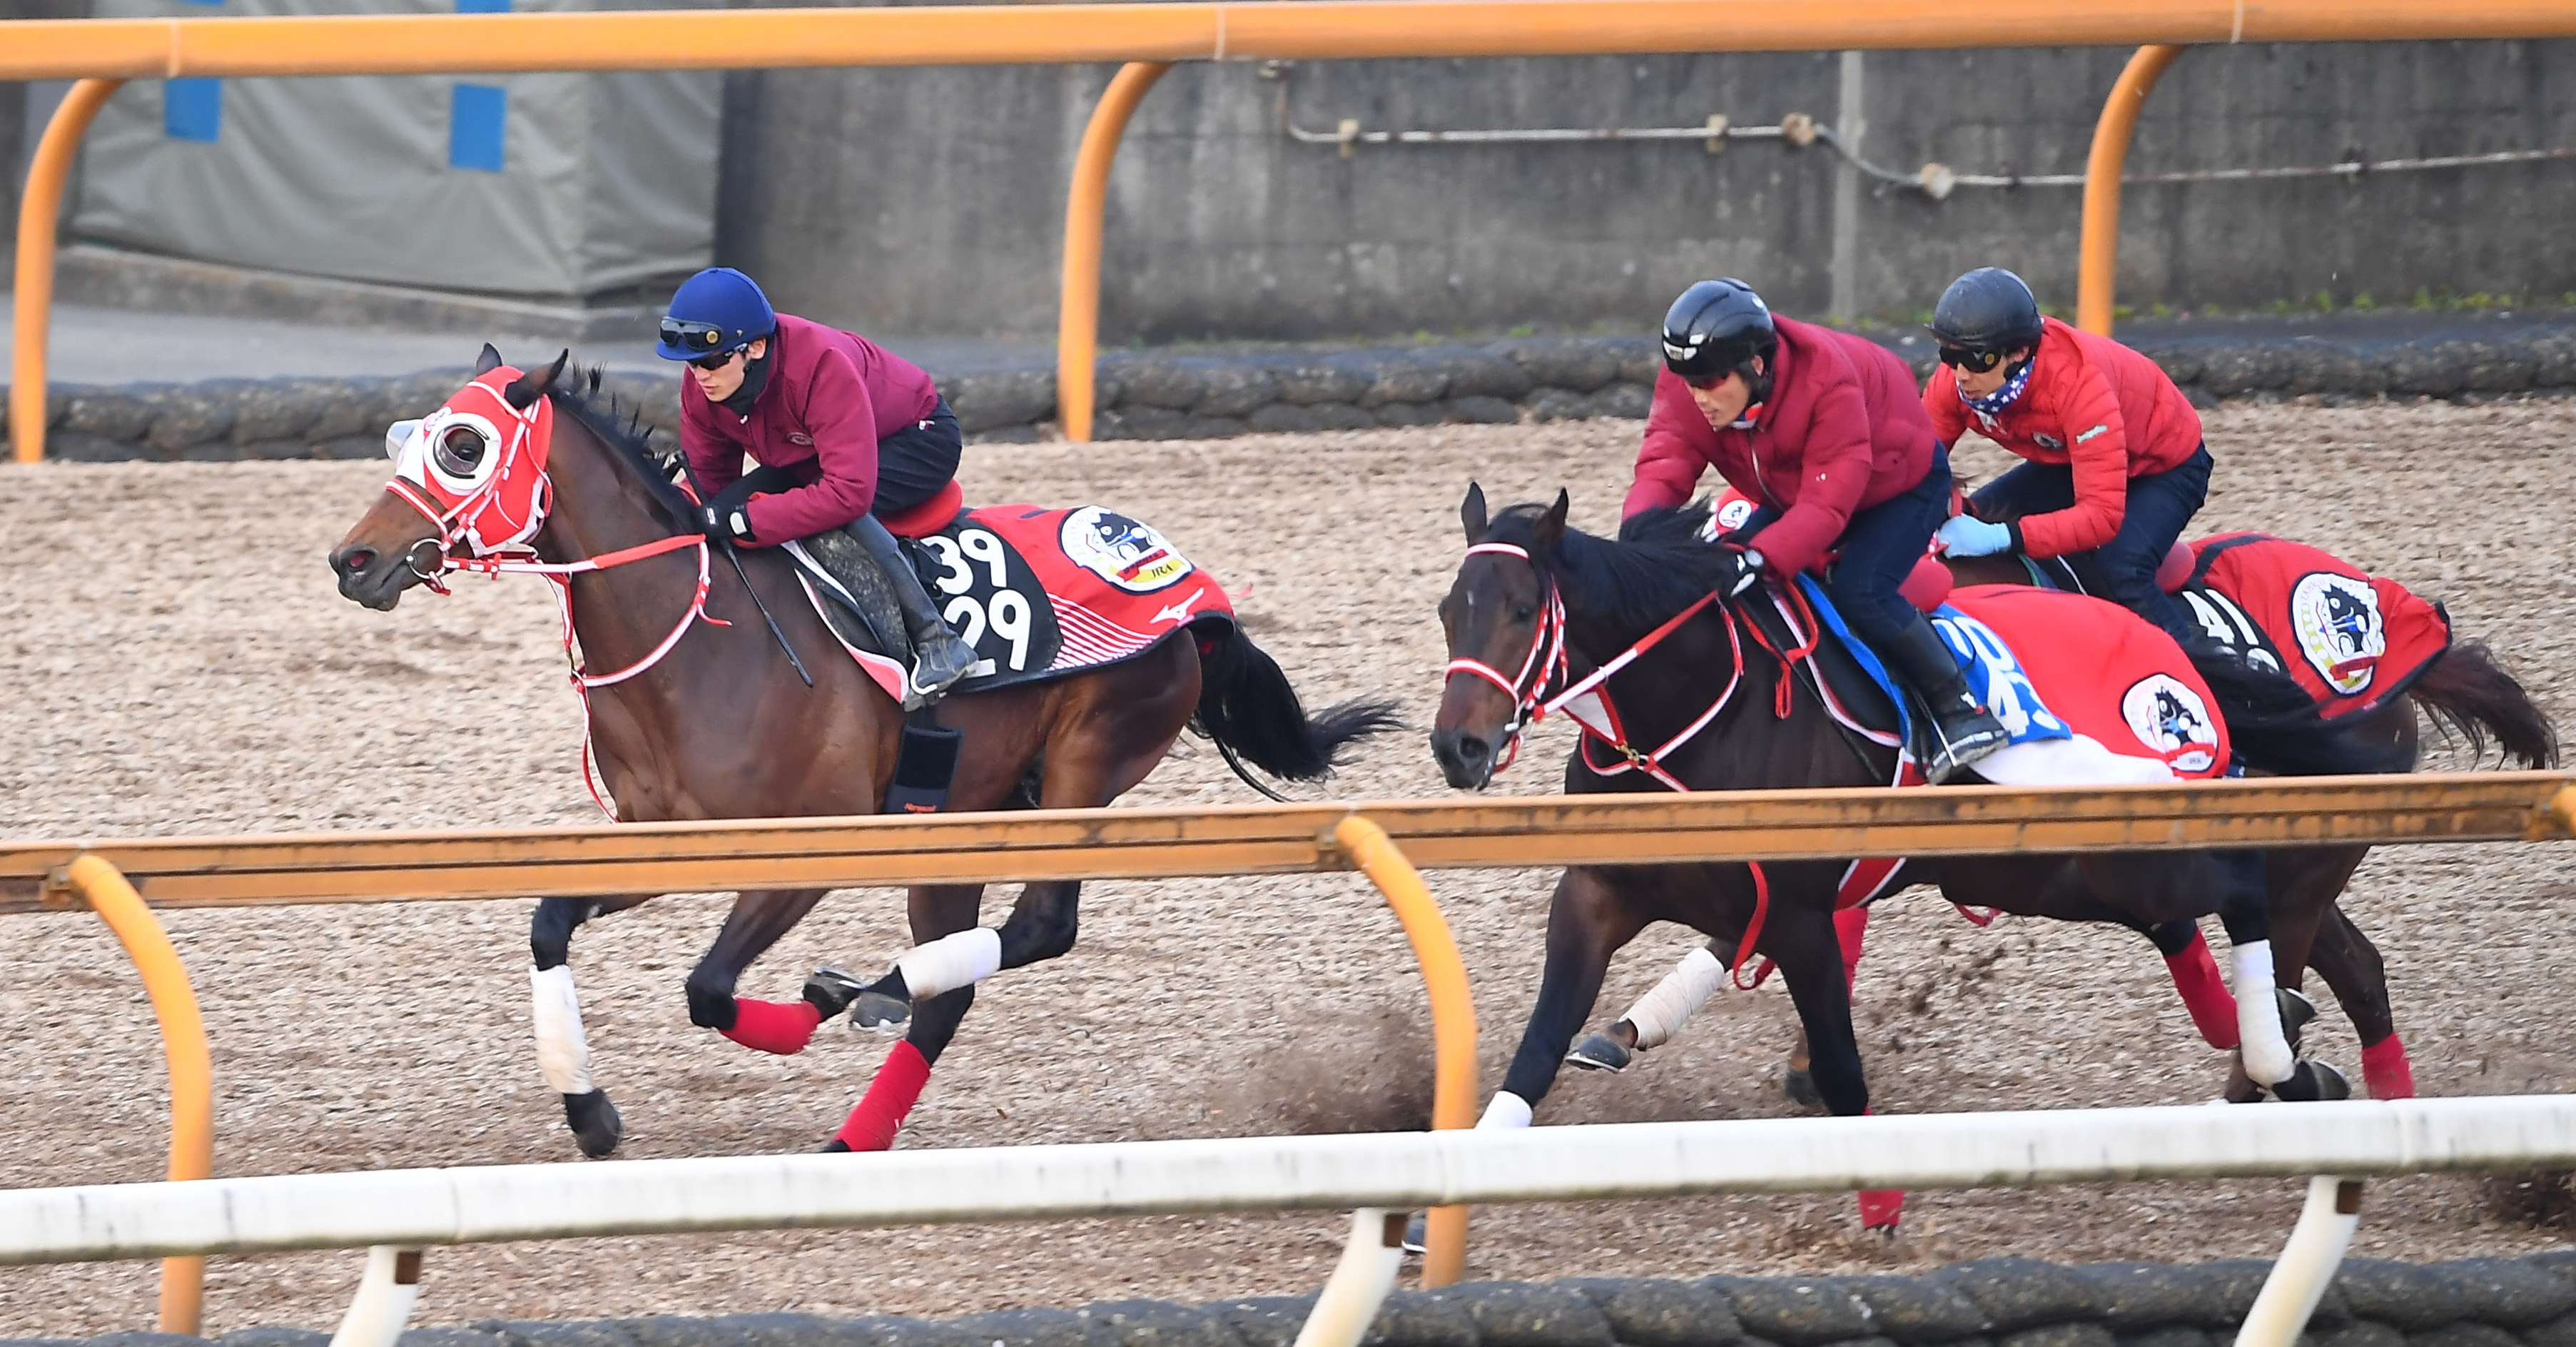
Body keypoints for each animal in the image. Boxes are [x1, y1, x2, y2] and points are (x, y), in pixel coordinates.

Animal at [327, 350, 1398, 1157]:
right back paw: (861, 1085)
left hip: (1083, 763)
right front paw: (589, 1112)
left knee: (1039, 927)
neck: (701, 640)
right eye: (404, 438)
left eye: (464, 445)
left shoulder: (812, 844)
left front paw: (791, 1017)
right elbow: (550, 924)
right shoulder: (660, 836)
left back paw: (861, 1009)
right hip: (963, 819)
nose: (352, 559)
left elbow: (706, 988)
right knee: (951, 985)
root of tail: (1191, 590)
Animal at [1430, 486, 2370, 1227]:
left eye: (1521, 610)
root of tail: (2160, 641)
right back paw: (2289, 1061)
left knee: (2240, 885)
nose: (1458, 747)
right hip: (2046, 869)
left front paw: (1881, 1215)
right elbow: (1537, 1052)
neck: (1692, 722)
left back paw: (2274, 1045)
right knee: (2182, 919)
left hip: (2111, 842)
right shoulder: (1597, 892)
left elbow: (1842, 1073)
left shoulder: (1800, 916)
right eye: (1448, 611)